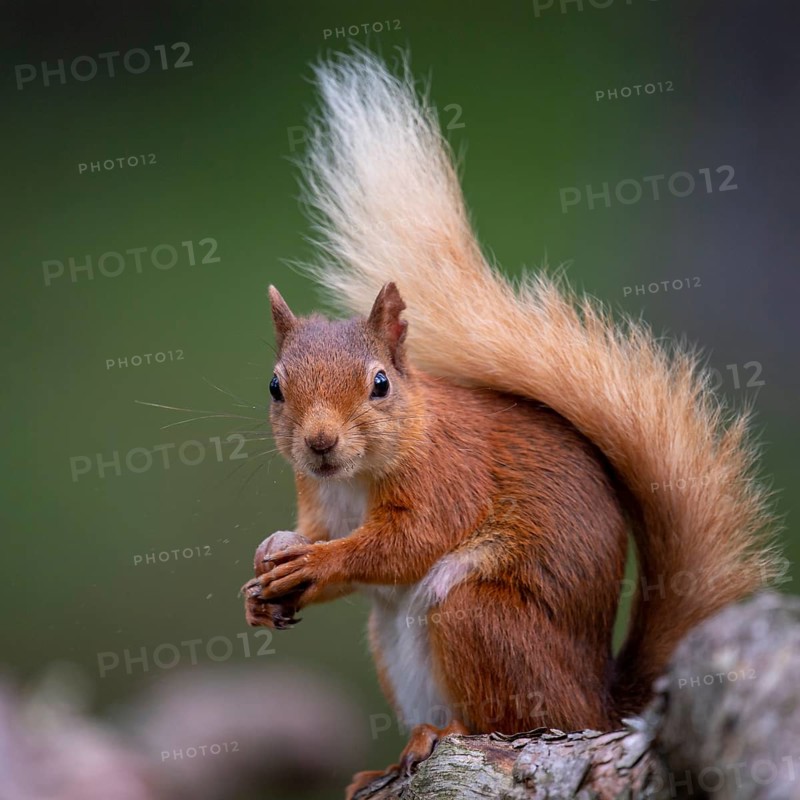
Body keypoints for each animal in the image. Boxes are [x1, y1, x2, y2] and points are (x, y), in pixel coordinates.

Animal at [242, 49, 779, 797]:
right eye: (275, 387)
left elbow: (408, 541)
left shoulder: (449, 475)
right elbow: (320, 539)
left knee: (509, 719)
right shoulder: (319, 498)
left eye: (380, 384)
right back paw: (391, 758)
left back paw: (444, 734)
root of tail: (600, 704)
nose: (319, 445)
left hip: (478, 616)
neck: (356, 474)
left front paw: (317, 563)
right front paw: (264, 578)